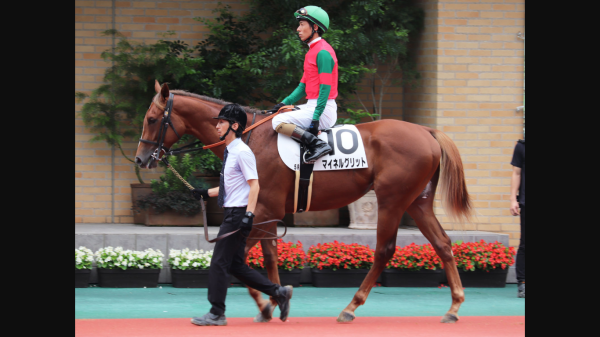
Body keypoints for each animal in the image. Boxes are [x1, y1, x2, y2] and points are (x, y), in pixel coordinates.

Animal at [136, 80, 474, 322]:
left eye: (151, 119)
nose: (141, 159)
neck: (249, 138)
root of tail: (426, 131)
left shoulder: (263, 211)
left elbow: (237, 259)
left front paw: (266, 303)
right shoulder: (266, 213)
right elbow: (268, 258)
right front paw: (273, 302)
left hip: (392, 200)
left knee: (384, 250)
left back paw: (351, 307)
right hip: (418, 202)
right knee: (443, 244)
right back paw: (454, 307)